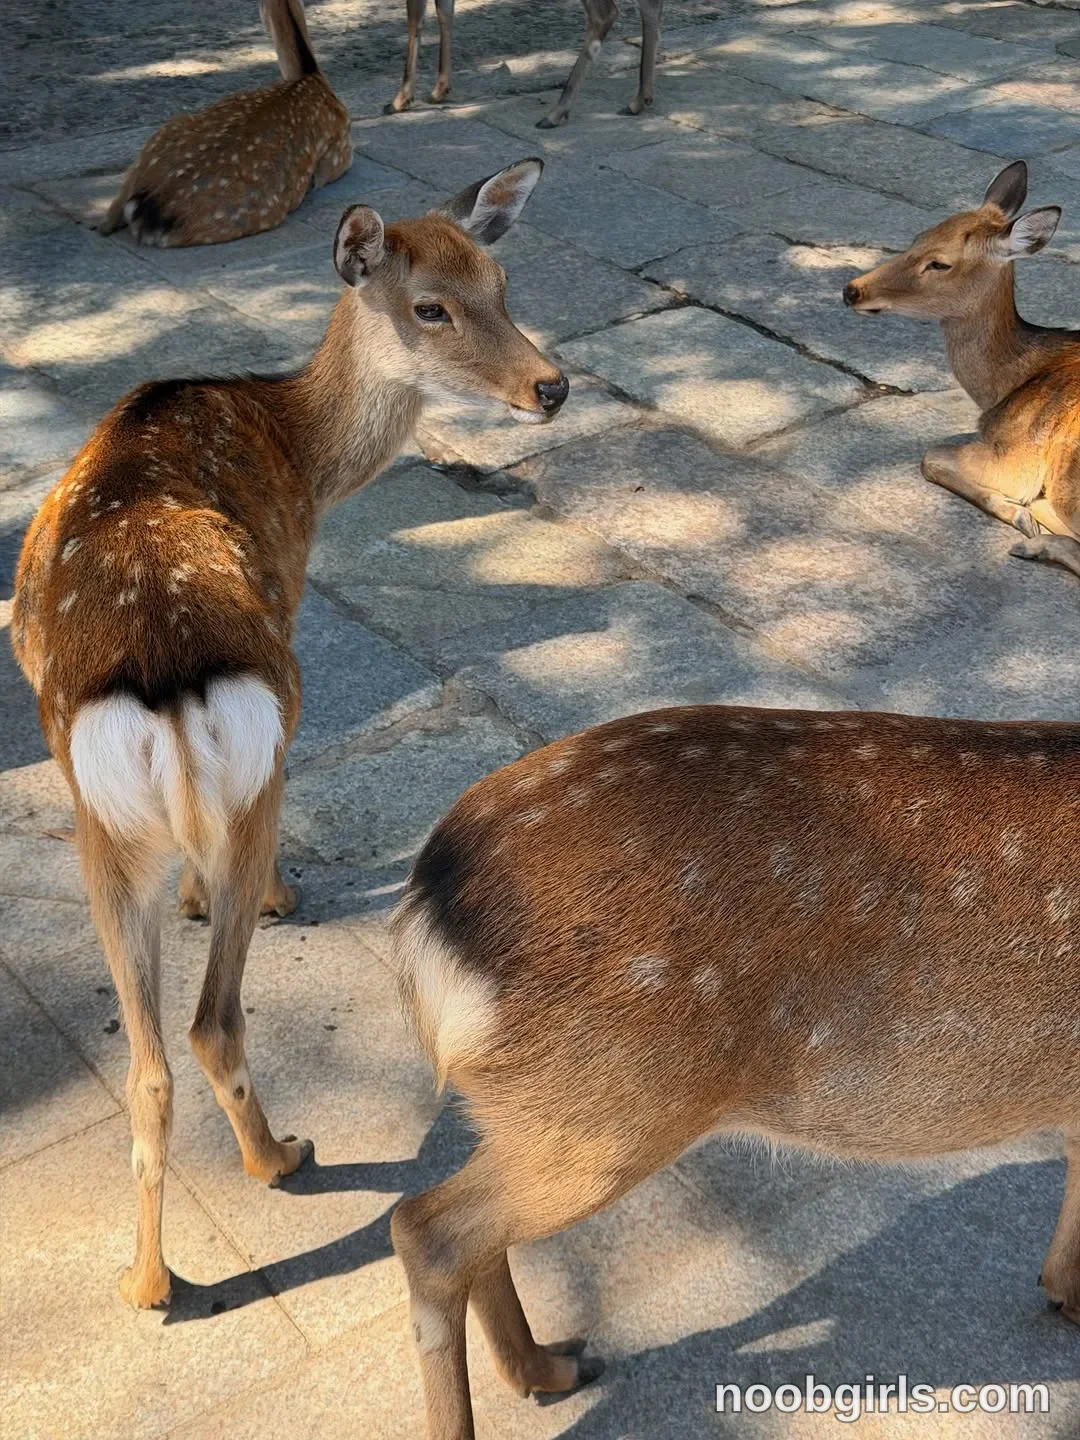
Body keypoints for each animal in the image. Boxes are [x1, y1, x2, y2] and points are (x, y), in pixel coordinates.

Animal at [10, 158, 568, 1311]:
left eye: (501, 278)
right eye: (430, 307)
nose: (552, 386)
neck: (298, 455)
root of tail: (163, 685)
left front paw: (192, 897)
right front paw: (263, 897)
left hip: (96, 816)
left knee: (149, 1064)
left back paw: (148, 1282)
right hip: (262, 749)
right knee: (215, 1018)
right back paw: (279, 1156)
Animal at [98, 0, 353, 246]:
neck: (311, 77)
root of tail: (149, 203)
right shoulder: (341, 154)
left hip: (160, 136)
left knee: (106, 221)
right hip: (254, 215)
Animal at [385, 0, 665, 129]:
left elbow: (415, 18)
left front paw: (399, 100)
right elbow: (444, 9)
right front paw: (440, 89)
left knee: (604, 14)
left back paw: (556, 112)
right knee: (650, 6)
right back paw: (640, 99)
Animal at [390, 699, 1080, 1438]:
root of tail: (425, 912)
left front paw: (1063, 1293)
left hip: (535, 1109)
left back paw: (549, 1367)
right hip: (607, 1106)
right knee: (427, 1228)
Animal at [843, 160, 1080, 580]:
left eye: (940, 262)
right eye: (918, 236)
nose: (852, 290)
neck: (1003, 388)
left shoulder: (1019, 459)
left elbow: (931, 456)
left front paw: (1019, 515)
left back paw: (1034, 541)